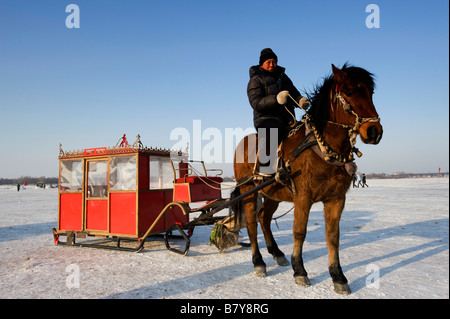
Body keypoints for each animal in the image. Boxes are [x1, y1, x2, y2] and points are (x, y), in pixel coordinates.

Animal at [232, 63, 384, 296]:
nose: (374, 130)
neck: (321, 148)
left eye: (371, 92)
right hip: (248, 190)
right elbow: (299, 232)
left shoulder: (336, 199)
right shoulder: (303, 197)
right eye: (349, 92)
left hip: (273, 195)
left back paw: (277, 253)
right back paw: (258, 262)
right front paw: (300, 270)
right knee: (251, 224)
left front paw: (338, 276)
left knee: (264, 219)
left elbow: (333, 236)